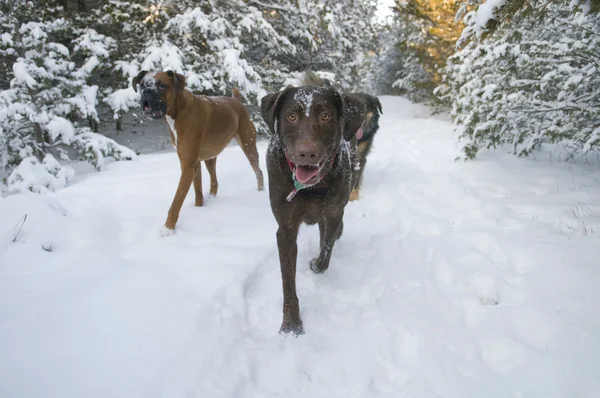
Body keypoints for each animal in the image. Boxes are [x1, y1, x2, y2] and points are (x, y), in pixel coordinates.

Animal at [134, 70, 264, 236]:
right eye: (142, 85)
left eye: (161, 85)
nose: (147, 92)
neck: (178, 110)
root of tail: (237, 102)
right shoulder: (193, 164)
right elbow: (198, 191)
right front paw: (199, 209)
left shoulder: (188, 167)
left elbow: (177, 199)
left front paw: (168, 228)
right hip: (210, 157)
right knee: (214, 181)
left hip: (249, 147)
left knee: (258, 172)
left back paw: (260, 192)